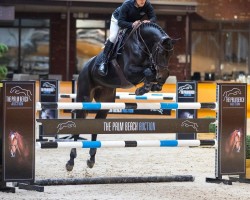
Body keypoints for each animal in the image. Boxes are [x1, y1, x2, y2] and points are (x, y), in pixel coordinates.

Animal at [65, 22, 177, 172]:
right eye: (160, 52)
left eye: (171, 54)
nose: (161, 76)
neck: (141, 44)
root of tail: (85, 66)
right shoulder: (129, 71)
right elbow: (148, 71)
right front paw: (143, 88)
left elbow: (152, 72)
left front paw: (153, 86)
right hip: (84, 97)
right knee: (79, 123)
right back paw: (70, 161)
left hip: (105, 102)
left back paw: (91, 159)